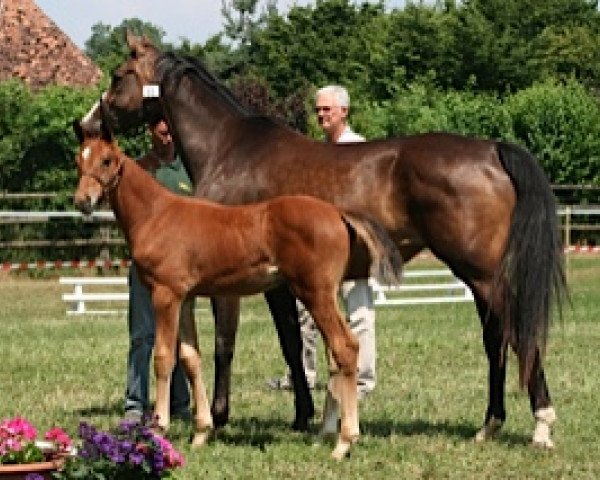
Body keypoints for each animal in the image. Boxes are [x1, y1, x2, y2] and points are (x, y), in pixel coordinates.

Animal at [72, 123, 400, 458]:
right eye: (79, 160)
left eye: (107, 160)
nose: (83, 201)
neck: (156, 214)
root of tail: (337, 212)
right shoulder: (186, 298)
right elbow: (190, 358)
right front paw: (201, 432)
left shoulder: (166, 295)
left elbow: (164, 357)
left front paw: (157, 428)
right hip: (322, 296)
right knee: (335, 355)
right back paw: (325, 434)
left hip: (315, 293)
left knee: (345, 347)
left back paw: (344, 443)